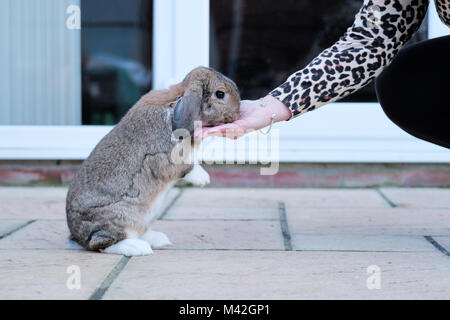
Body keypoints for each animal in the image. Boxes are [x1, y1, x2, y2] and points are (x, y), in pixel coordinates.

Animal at [65, 67, 241, 255]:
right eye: (220, 94)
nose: (237, 112)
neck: (174, 104)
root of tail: (77, 237)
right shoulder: (165, 157)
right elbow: (185, 167)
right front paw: (203, 179)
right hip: (119, 218)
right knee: (101, 242)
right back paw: (138, 248)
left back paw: (159, 240)